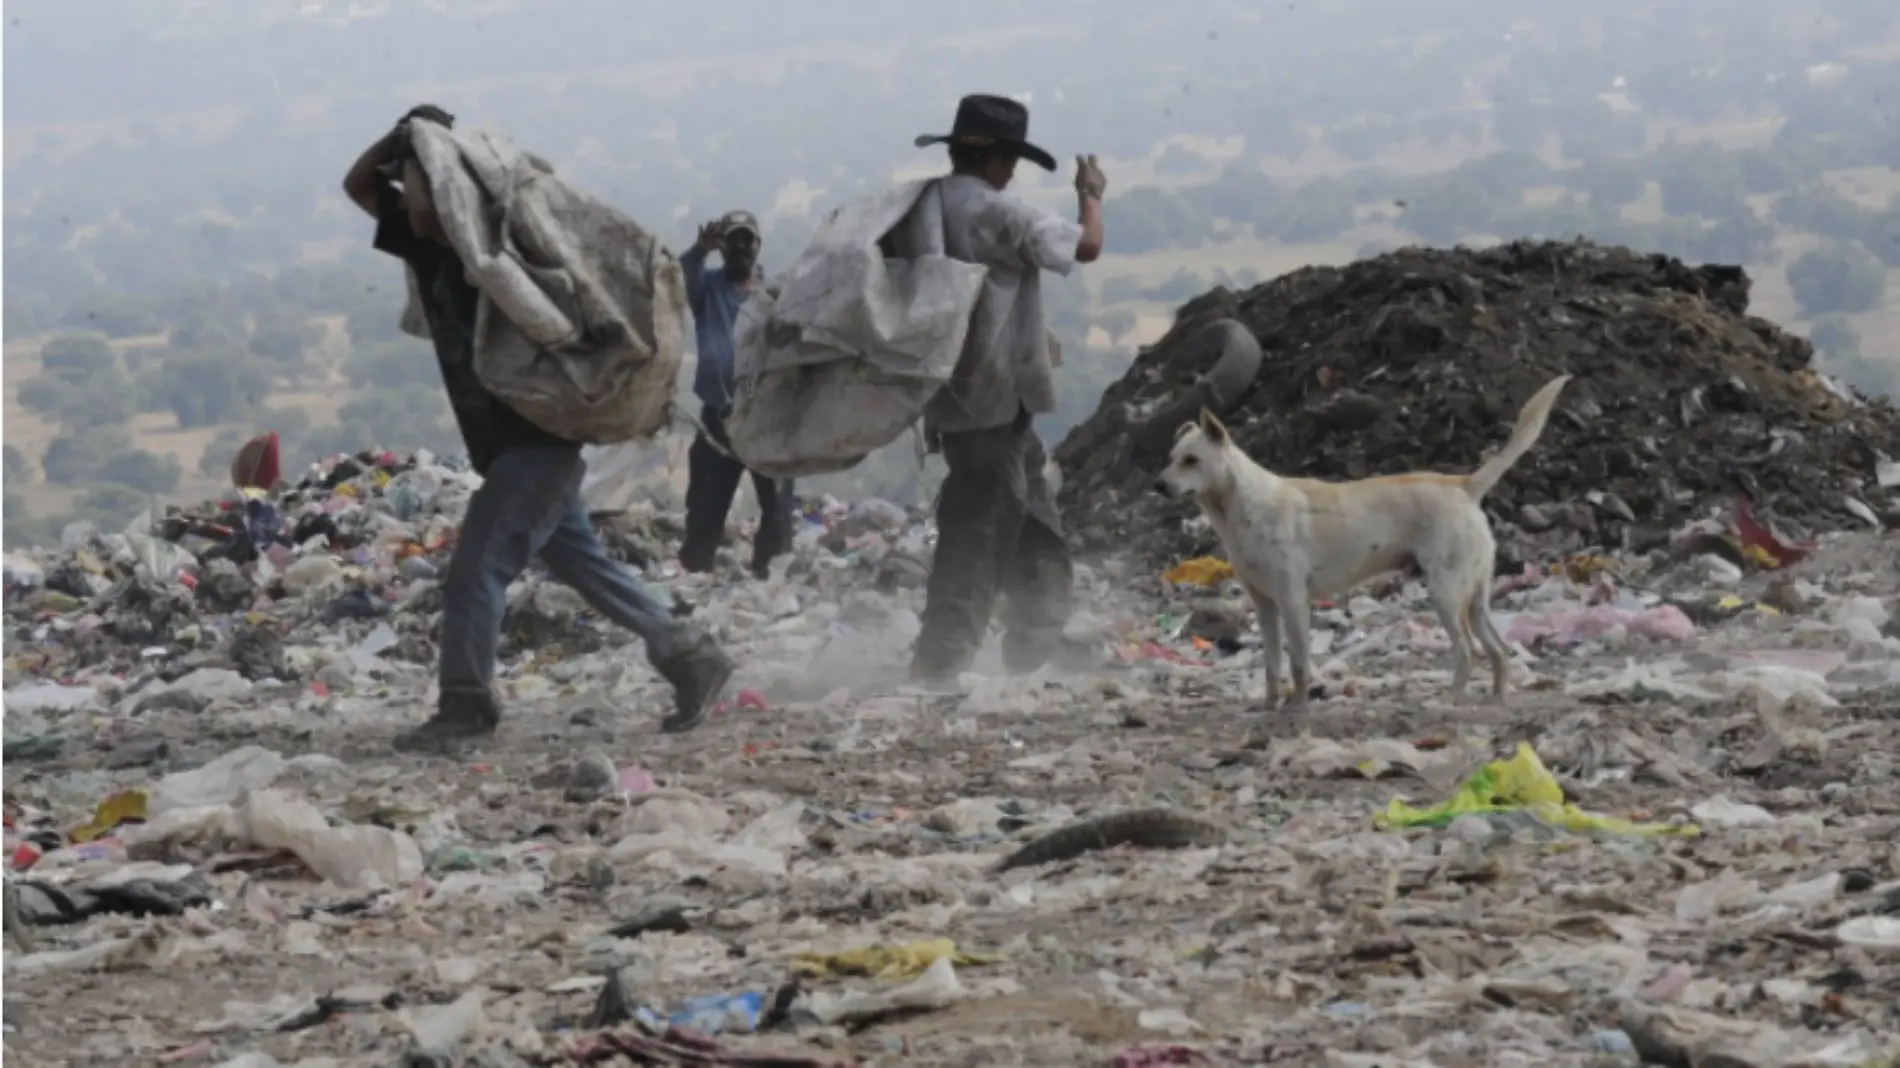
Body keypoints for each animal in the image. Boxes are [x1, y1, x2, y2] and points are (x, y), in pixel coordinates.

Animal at [1155, 374, 1573, 706]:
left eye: (1191, 460)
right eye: (1171, 457)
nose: (1158, 485)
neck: (1241, 506)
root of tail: (1463, 485)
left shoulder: (1292, 601)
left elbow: (1299, 661)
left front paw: (1298, 707)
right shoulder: (1264, 606)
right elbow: (1272, 663)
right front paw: (1270, 706)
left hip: (1445, 592)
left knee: (1468, 650)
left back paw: (1451, 698)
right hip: (1475, 597)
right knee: (1498, 650)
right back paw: (1497, 699)